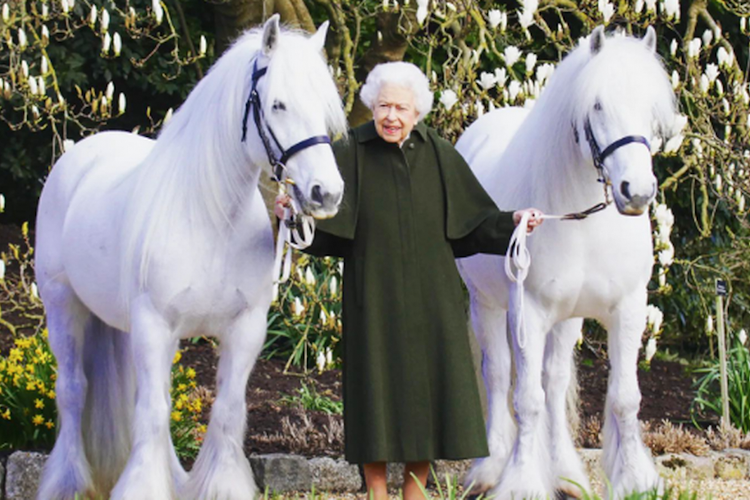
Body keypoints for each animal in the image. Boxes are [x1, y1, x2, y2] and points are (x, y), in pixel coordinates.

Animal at [34, 15, 346, 500]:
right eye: (278, 104)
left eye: (324, 107)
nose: (326, 193)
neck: (210, 218)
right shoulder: (154, 325)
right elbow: (152, 412)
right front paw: (142, 487)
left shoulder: (245, 328)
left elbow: (226, 410)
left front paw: (219, 485)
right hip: (62, 303)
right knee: (71, 389)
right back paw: (67, 483)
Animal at [455, 27, 677, 499]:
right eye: (597, 105)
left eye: (650, 107)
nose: (637, 191)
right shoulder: (528, 312)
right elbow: (525, 399)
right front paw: (521, 482)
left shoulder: (627, 309)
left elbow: (623, 398)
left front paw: (635, 479)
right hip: (487, 305)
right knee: (498, 374)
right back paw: (490, 468)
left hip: (567, 319)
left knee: (554, 383)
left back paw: (565, 475)